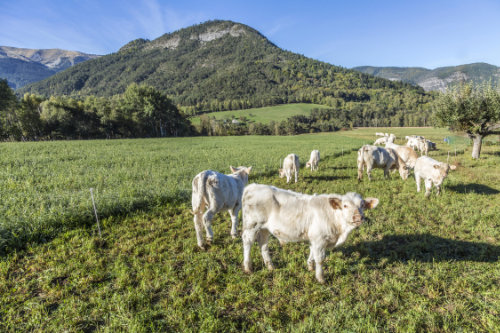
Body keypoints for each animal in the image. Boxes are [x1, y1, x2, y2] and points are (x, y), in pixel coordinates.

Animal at [242, 184, 378, 282]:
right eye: (345, 206)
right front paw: (320, 278)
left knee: (263, 244)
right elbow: (320, 259)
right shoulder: (320, 239)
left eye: (362, 205)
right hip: (252, 225)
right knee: (248, 242)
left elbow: (312, 251)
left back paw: (270, 266)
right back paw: (248, 267)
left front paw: (310, 267)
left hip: (264, 228)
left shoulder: (315, 238)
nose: (358, 217)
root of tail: (252, 186)